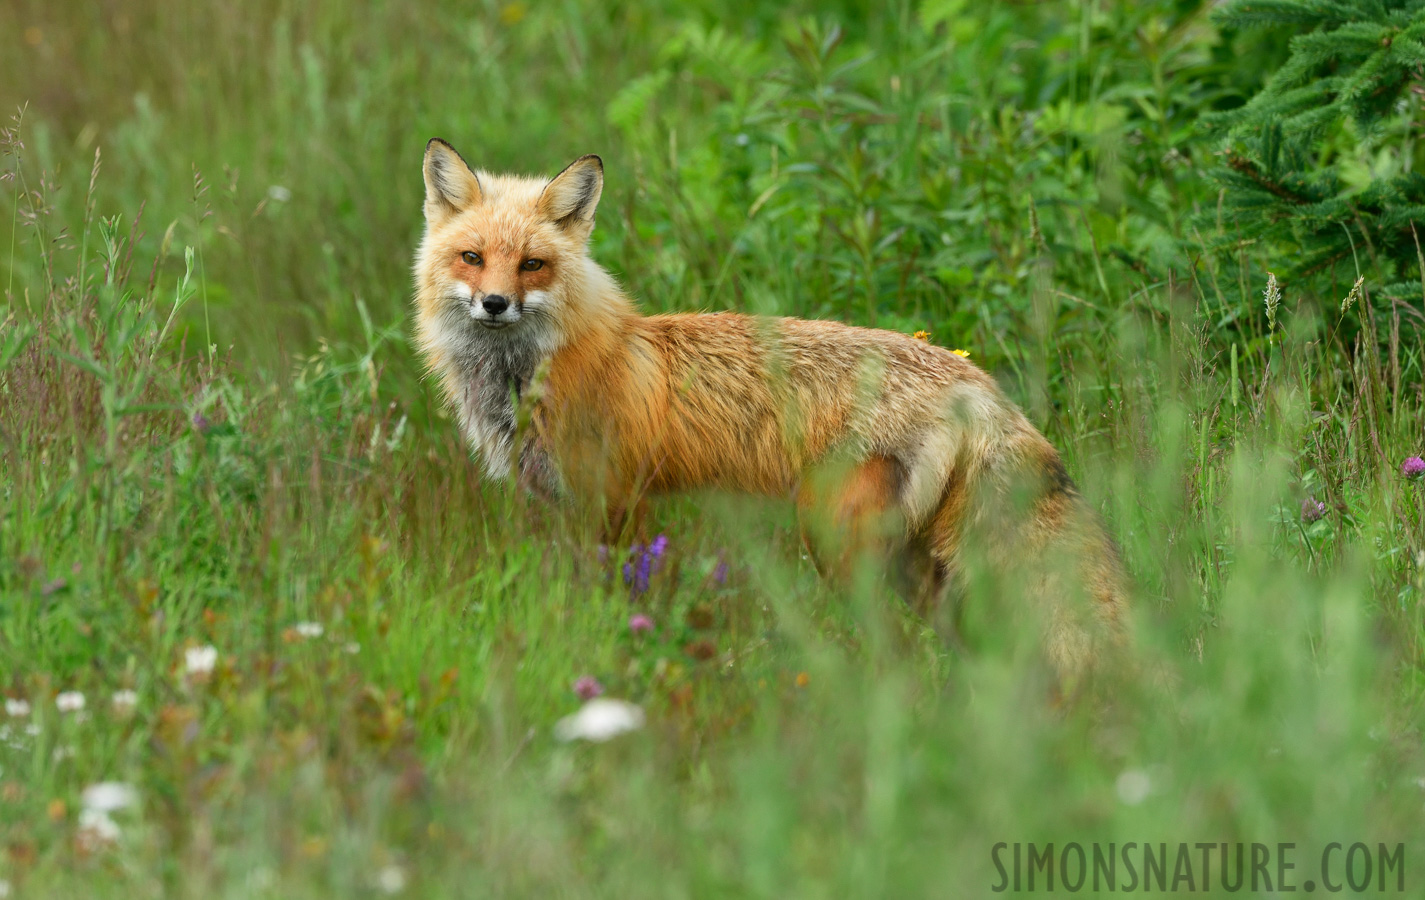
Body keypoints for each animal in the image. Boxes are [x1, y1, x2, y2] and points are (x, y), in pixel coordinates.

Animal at [416, 137, 1128, 677]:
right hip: (919, 563)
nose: (495, 304)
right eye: (472, 258)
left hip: (838, 543)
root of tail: (976, 383)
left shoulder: (616, 501)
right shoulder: (563, 506)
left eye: (532, 264)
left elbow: (625, 601)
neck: (532, 375)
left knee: (899, 652)